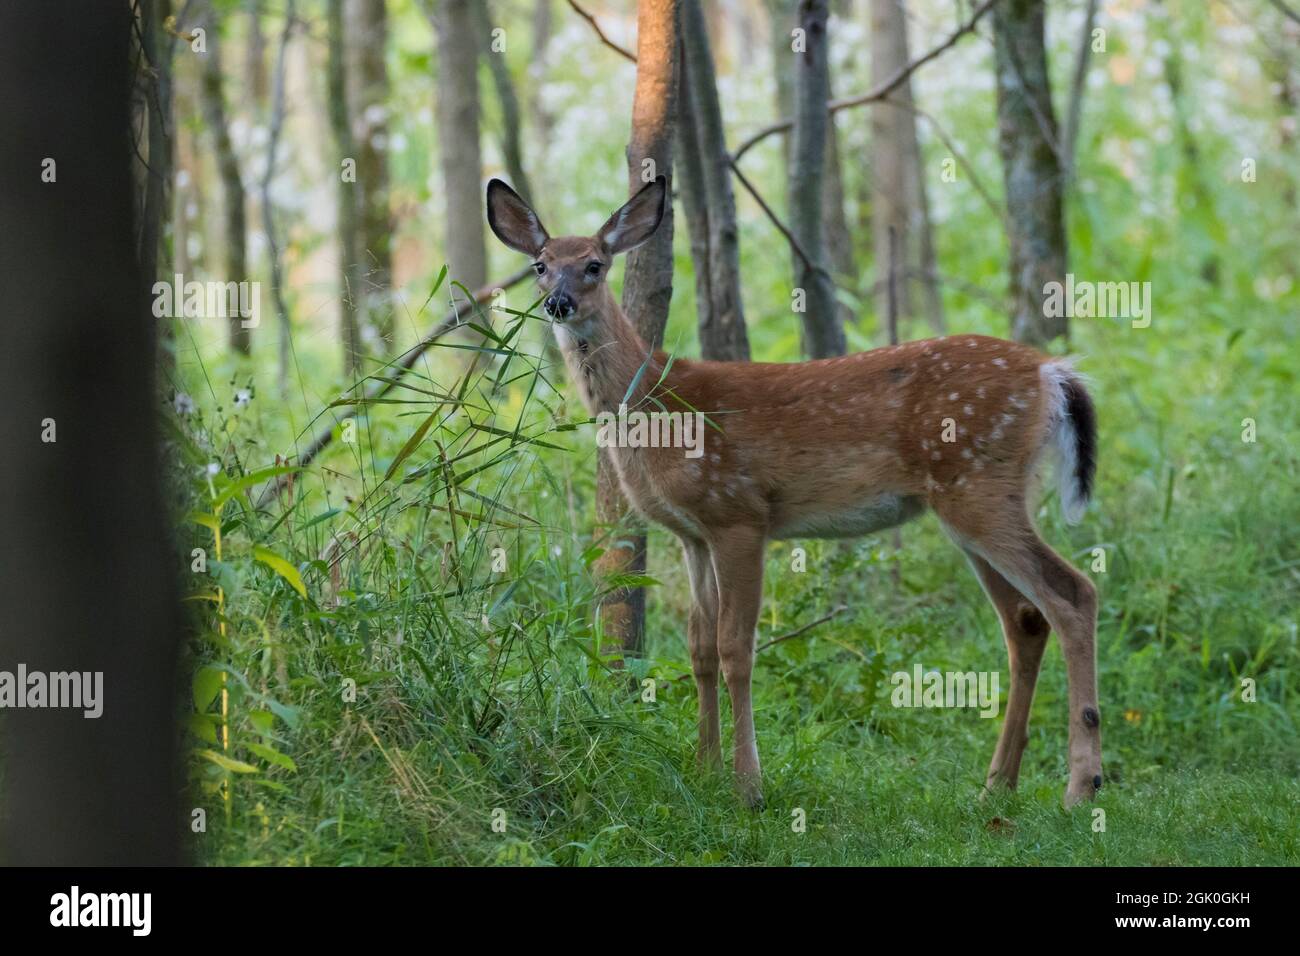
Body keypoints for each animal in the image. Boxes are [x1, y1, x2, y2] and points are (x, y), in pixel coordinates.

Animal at [486, 175, 1103, 809]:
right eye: (540, 265)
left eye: (594, 265)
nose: (558, 303)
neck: (656, 406)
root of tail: (1052, 373)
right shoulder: (692, 533)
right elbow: (699, 647)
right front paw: (704, 769)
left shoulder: (739, 513)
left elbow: (736, 647)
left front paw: (747, 786)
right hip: (972, 501)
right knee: (1025, 619)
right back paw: (997, 785)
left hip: (978, 484)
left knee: (1073, 594)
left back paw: (1081, 786)